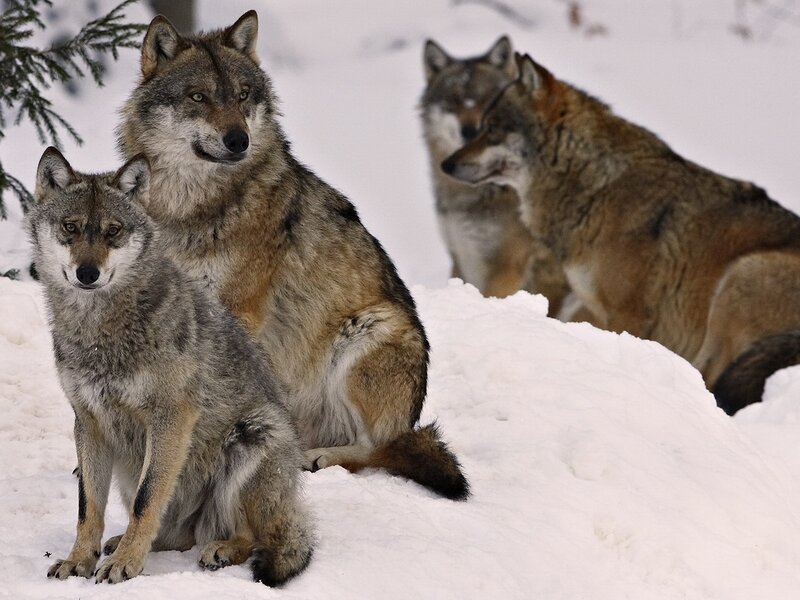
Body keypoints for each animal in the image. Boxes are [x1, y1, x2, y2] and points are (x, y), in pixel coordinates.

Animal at [31, 148, 313, 585]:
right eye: (70, 227)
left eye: (113, 231)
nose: (87, 273)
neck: (100, 331)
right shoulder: (88, 422)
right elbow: (88, 508)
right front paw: (80, 560)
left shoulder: (171, 417)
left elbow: (147, 500)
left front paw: (125, 566)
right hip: (130, 466)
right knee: (175, 536)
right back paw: (127, 543)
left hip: (254, 434)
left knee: (253, 536)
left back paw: (220, 549)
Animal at [117, 12, 469, 499]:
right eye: (197, 97)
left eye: (242, 95)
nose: (238, 140)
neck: (189, 207)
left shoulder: (238, 310)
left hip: (369, 332)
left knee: (381, 450)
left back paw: (316, 458)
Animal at [443, 53, 800, 415]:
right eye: (482, 128)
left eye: (491, 129)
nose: (446, 164)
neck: (597, 186)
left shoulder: (628, 313)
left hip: (741, 277)